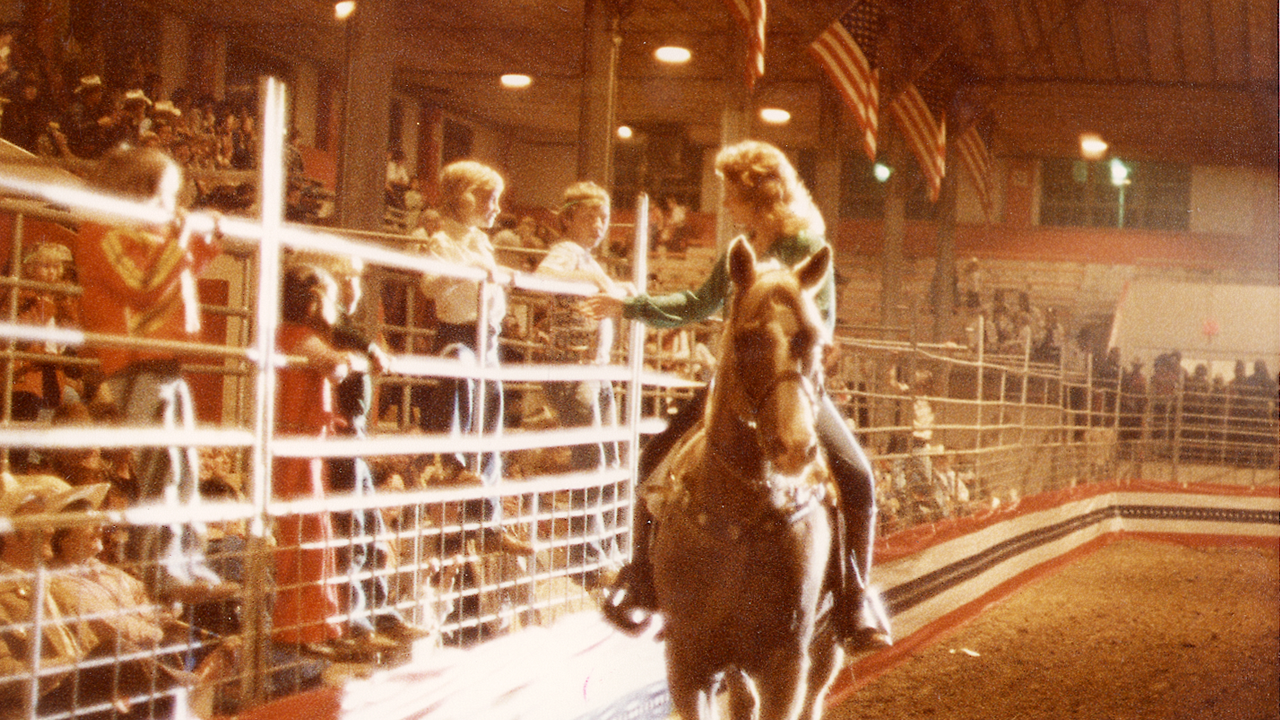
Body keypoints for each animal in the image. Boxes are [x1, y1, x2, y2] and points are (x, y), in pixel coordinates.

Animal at [650, 238, 839, 712]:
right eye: (746, 337)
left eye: (815, 342)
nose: (795, 447)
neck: (742, 517)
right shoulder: (687, 663)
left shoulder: (786, 664)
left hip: (827, 642)